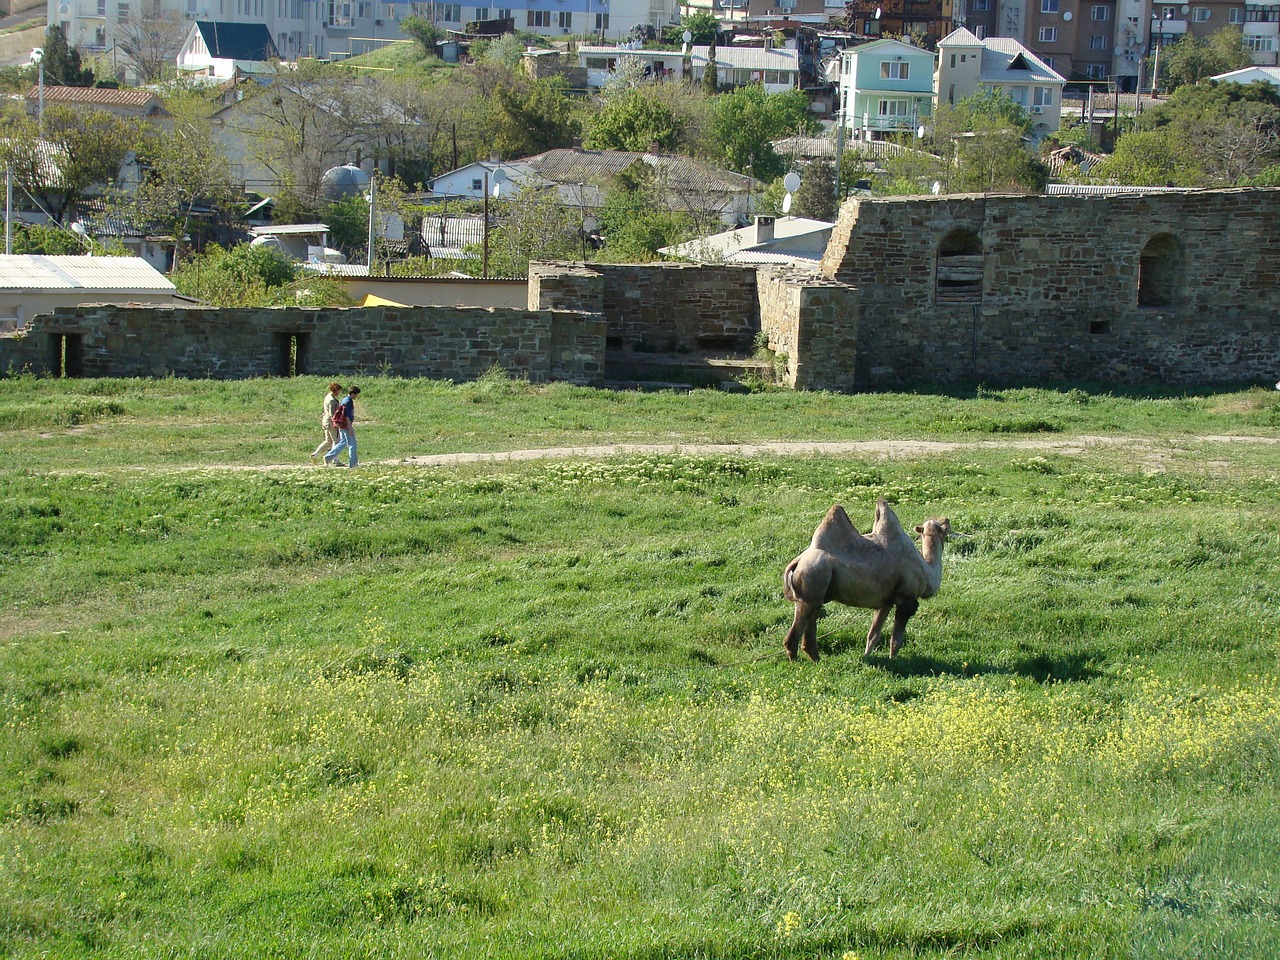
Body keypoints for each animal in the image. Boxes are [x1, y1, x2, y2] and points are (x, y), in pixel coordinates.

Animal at [778, 504, 952, 660]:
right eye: (944, 529)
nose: (947, 520)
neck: (927, 569)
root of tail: (798, 561)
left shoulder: (885, 602)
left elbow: (873, 635)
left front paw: (866, 658)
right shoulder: (906, 599)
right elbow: (896, 641)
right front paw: (893, 661)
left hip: (811, 595)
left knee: (810, 621)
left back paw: (816, 660)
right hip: (812, 577)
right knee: (793, 637)